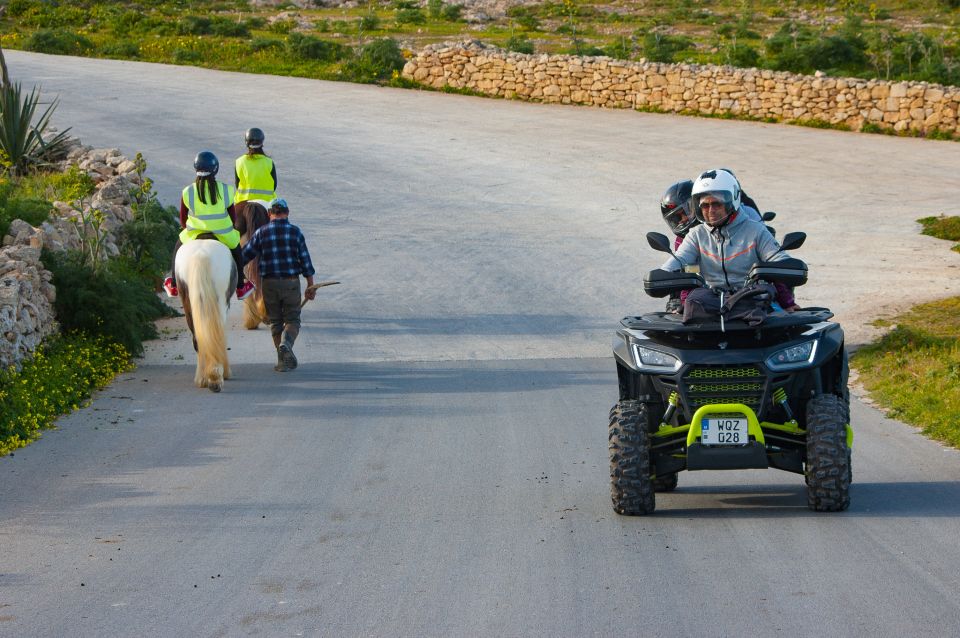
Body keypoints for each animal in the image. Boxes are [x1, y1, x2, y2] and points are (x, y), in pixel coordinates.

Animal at [175, 238, 237, 392]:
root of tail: (201, 255)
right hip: (221, 302)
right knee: (218, 335)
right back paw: (216, 377)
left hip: (188, 302)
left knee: (198, 338)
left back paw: (203, 378)